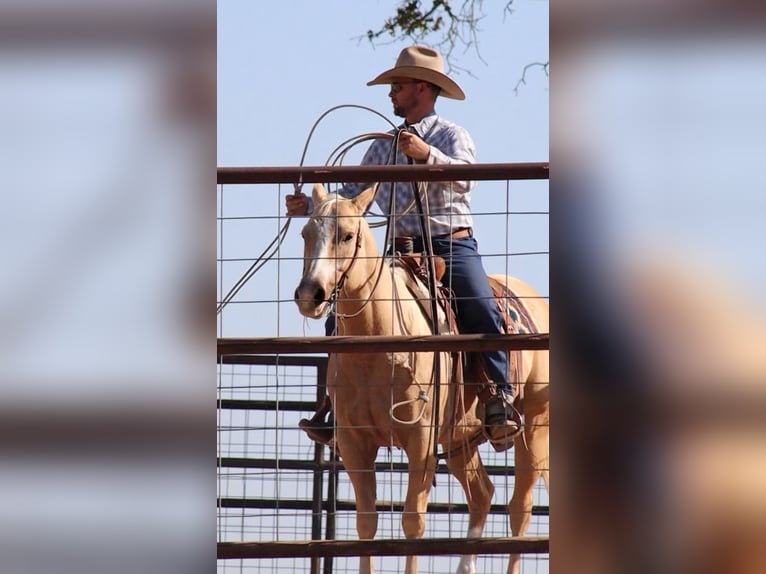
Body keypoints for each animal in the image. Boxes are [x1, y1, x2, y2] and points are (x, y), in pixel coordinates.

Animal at [296, 184, 552, 574]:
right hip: (460, 440)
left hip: (535, 428)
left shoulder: (421, 440)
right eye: (305, 234)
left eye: (347, 235)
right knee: (482, 494)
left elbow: (412, 523)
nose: (311, 295)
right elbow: (365, 524)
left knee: (518, 510)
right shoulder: (355, 443)